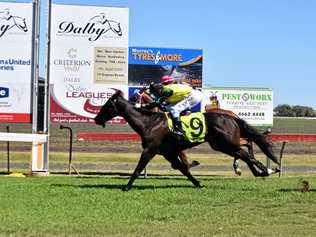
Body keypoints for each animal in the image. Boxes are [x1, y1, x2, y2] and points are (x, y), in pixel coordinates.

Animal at [94, 90, 278, 191]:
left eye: (108, 105)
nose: (96, 119)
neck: (149, 122)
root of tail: (231, 116)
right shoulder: (168, 152)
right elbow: (183, 168)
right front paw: (198, 183)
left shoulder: (150, 150)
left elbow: (138, 168)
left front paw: (126, 187)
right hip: (221, 144)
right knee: (244, 152)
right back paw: (263, 171)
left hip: (225, 143)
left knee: (244, 153)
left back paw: (265, 170)